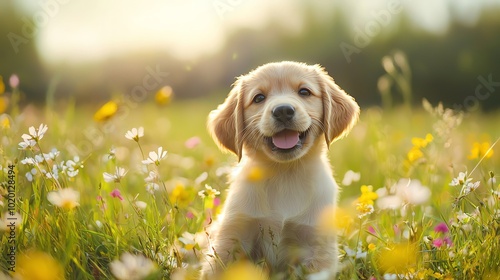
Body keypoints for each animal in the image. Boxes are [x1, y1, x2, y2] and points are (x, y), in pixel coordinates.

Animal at [201, 61, 362, 278]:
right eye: (259, 98)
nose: (283, 110)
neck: (285, 173)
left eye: (304, 92)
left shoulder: (317, 246)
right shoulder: (232, 236)